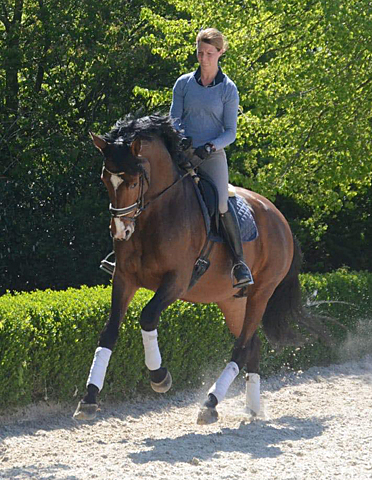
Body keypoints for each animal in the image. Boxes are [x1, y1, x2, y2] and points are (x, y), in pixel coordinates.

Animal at [75, 113, 316, 424]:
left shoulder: (177, 280)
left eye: (134, 180)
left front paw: (159, 377)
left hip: (261, 293)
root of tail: (280, 218)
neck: (155, 215)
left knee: (241, 347)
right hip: (232, 300)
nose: (120, 231)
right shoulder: (124, 278)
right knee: (252, 344)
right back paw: (252, 408)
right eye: (106, 178)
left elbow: (148, 317)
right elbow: (109, 331)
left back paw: (211, 403)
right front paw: (89, 398)